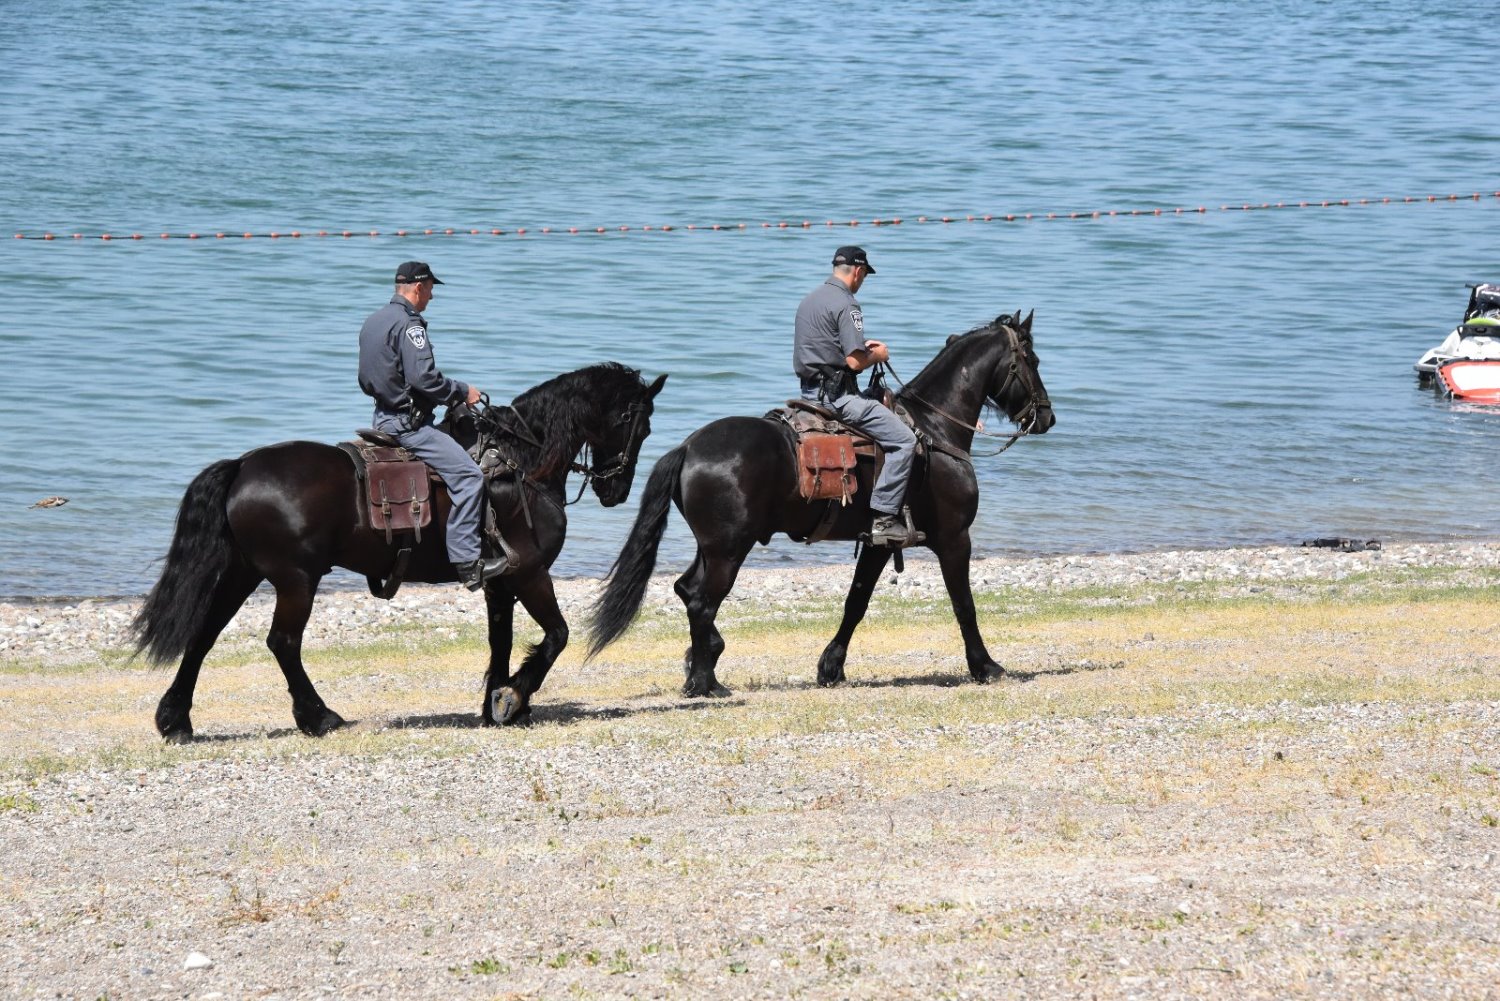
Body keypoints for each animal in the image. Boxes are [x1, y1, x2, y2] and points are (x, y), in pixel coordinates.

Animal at [134, 363, 667, 740]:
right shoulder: (530, 573)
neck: (520, 463)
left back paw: (175, 720)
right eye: (638, 426)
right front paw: (513, 698)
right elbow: (557, 635)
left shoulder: (499, 583)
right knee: (283, 642)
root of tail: (243, 465)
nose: (616, 489)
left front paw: (497, 704)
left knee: (204, 634)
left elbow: (501, 642)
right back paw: (319, 717)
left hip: (246, 573)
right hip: (296, 579)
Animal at [587, 312, 1052, 694]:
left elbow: (856, 602)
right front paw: (985, 666)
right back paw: (706, 683)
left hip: (714, 547)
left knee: (687, 591)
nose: (1046, 417)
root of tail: (687, 447)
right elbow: (964, 605)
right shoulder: (955, 538)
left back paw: (704, 671)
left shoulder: (880, 544)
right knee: (702, 600)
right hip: (729, 550)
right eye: (1032, 360)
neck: (933, 429)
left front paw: (831, 668)